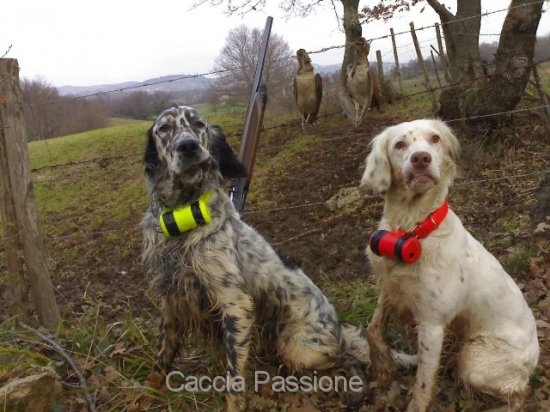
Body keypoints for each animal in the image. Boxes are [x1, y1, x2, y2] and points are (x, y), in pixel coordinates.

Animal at [142, 104, 370, 410]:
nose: (188, 146)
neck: (183, 219)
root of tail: (337, 328)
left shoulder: (236, 306)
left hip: (297, 346)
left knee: (348, 356)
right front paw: (146, 396)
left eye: (199, 124)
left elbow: (234, 377)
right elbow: (161, 360)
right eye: (164, 128)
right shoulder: (172, 300)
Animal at [362, 117, 540, 410]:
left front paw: (415, 402)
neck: (412, 230)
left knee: (518, 392)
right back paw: (404, 358)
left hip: (474, 358)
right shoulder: (391, 288)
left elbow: (423, 384)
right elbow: (372, 328)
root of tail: (535, 358)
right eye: (400, 144)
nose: (421, 158)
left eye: (435, 139)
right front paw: (384, 366)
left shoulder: (432, 323)